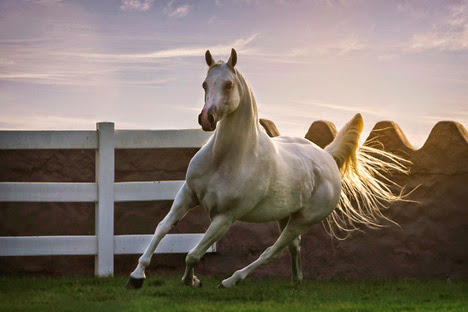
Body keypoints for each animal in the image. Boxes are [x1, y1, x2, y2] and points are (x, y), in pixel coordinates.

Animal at [126, 48, 408, 290]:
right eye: (205, 84)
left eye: (228, 85)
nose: (206, 119)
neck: (226, 159)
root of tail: (327, 157)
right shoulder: (187, 195)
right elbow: (162, 228)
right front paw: (137, 276)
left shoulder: (225, 218)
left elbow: (193, 254)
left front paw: (191, 281)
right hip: (286, 216)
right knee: (294, 247)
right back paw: (296, 280)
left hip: (303, 220)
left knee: (272, 251)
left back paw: (231, 280)